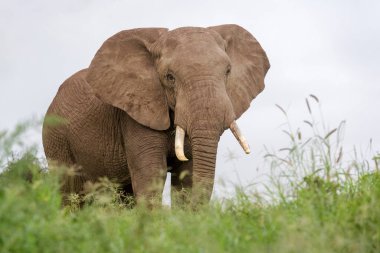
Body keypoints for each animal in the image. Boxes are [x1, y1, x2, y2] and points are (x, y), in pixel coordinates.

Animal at [42, 23, 270, 207]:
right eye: (170, 77)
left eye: (228, 71)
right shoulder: (134, 113)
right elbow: (152, 175)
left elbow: (187, 175)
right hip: (56, 141)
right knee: (70, 195)